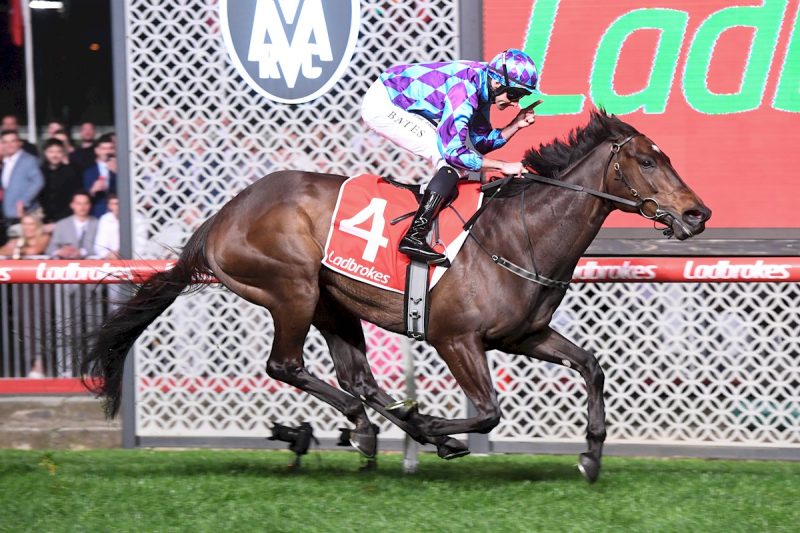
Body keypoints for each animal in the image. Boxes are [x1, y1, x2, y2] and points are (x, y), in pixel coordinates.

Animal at [82, 110, 711, 483]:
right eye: (647, 160)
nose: (696, 214)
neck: (518, 235)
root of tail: (222, 215)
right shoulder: (456, 338)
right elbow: (487, 411)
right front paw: (434, 428)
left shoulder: (524, 336)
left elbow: (591, 364)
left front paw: (592, 453)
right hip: (292, 288)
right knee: (288, 365)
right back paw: (345, 429)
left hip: (332, 304)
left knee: (356, 378)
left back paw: (367, 430)